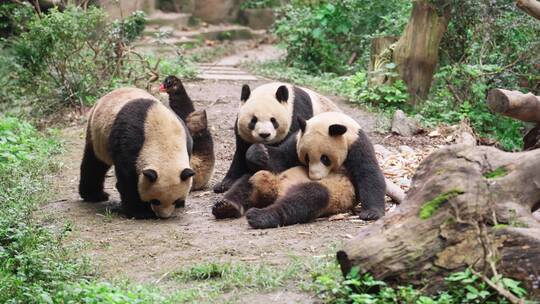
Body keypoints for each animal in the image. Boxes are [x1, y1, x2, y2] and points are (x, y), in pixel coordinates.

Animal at [78, 87, 196, 218]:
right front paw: (140, 211)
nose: (163, 216)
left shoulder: (186, 140)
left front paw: (180, 203)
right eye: (156, 200)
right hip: (97, 135)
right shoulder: (131, 143)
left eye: (175, 200)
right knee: (95, 163)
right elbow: (128, 178)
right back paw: (95, 196)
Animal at [213, 111, 386, 221]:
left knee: (307, 198)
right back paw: (226, 207)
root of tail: (276, 191)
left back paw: (260, 216)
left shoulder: (356, 144)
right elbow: (280, 158)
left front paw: (371, 213)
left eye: (325, 159)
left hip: (334, 192)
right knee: (247, 182)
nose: (314, 176)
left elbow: (369, 174)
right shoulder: (297, 139)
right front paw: (259, 153)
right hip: (267, 176)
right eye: (306, 158)